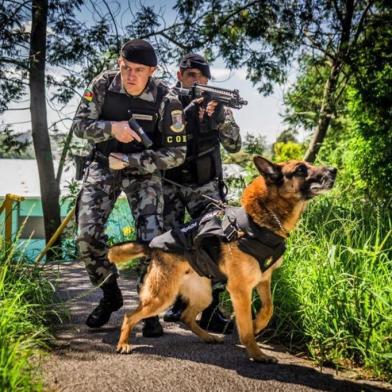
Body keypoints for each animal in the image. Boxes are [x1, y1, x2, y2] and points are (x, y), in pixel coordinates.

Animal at [108, 156, 336, 362]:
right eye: (300, 170)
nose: (333, 170)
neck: (261, 221)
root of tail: (153, 244)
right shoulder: (240, 290)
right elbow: (245, 327)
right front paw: (257, 354)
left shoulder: (263, 279)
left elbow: (268, 308)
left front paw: (258, 325)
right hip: (162, 297)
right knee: (130, 317)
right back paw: (123, 344)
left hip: (204, 296)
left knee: (186, 317)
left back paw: (208, 337)